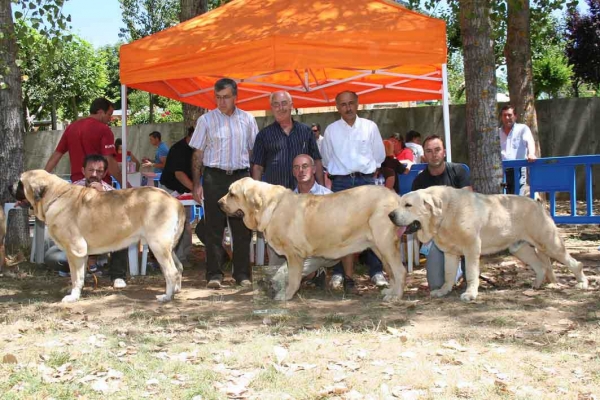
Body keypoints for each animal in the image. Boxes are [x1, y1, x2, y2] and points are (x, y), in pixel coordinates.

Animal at [10, 169, 186, 304]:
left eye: (20, 182)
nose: (8, 186)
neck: (55, 196)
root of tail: (174, 201)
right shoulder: (81, 254)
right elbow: (80, 275)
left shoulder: (74, 250)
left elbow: (75, 276)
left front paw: (73, 297)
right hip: (168, 247)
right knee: (178, 267)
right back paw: (176, 291)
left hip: (158, 245)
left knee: (171, 271)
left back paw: (166, 296)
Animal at [218, 177, 406, 300]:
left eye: (232, 194)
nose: (219, 203)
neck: (269, 206)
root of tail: (396, 197)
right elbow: (284, 273)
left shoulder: (294, 255)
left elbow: (293, 278)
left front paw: (286, 295)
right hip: (379, 248)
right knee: (392, 273)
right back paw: (390, 292)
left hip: (385, 244)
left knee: (400, 271)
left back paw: (395, 297)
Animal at [386, 186, 588, 302]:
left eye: (408, 205)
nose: (390, 215)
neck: (444, 214)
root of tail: (537, 204)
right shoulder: (450, 253)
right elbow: (449, 274)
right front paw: (443, 291)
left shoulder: (471, 249)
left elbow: (471, 273)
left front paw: (470, 294)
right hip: (520, 248)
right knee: (541, 266)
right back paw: (536, 285)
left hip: (549, 243)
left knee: (575, 263)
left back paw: (582, 283)